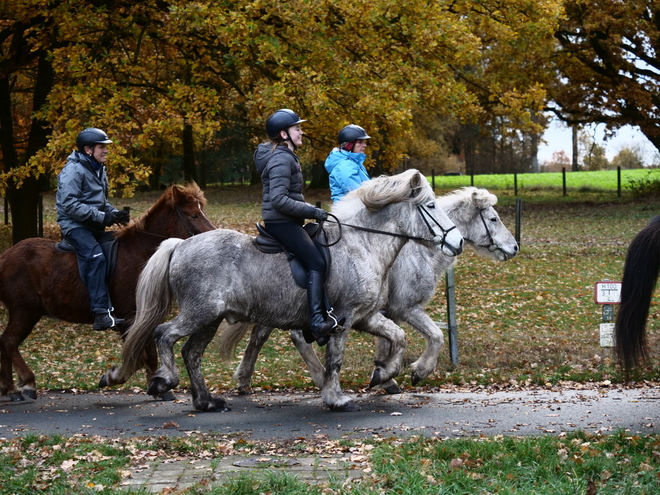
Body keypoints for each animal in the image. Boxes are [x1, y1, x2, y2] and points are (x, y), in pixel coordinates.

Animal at [0, 182, 217, 404]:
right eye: (193, 215)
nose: (214, 238)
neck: (142, 254)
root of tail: (6, 256)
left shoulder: (144, 318)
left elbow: (148, 354)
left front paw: (158, 387)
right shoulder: (129, 319)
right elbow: (138, 357)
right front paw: (115, 378)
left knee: (4, 343)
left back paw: (10, 388)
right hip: (24, 311)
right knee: (8, 342)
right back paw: (26, 383)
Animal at [102, 170, 464, 410]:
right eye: (431, 206)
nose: (458, 242)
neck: (363, 244)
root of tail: (179, 244)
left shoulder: (367, 316)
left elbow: (399, 337)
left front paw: (393, 371)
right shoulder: (344, 319)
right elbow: (336, 359)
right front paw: (336, 397)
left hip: (210, 319)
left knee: (192, 352)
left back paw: (206, 401)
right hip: (199, 312)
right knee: (163, 334)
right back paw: (165, 381)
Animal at [229, 188, 520, 398]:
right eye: (493, 219)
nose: (515, 247)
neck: (416, 249)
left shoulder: (387, 312)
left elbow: (388, 341)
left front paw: (384, 375)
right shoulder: (407, 308)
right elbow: (435, 336)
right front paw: (416, 372)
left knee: (261, 335)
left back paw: (245, 379)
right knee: (294, 336)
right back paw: (320, 379)